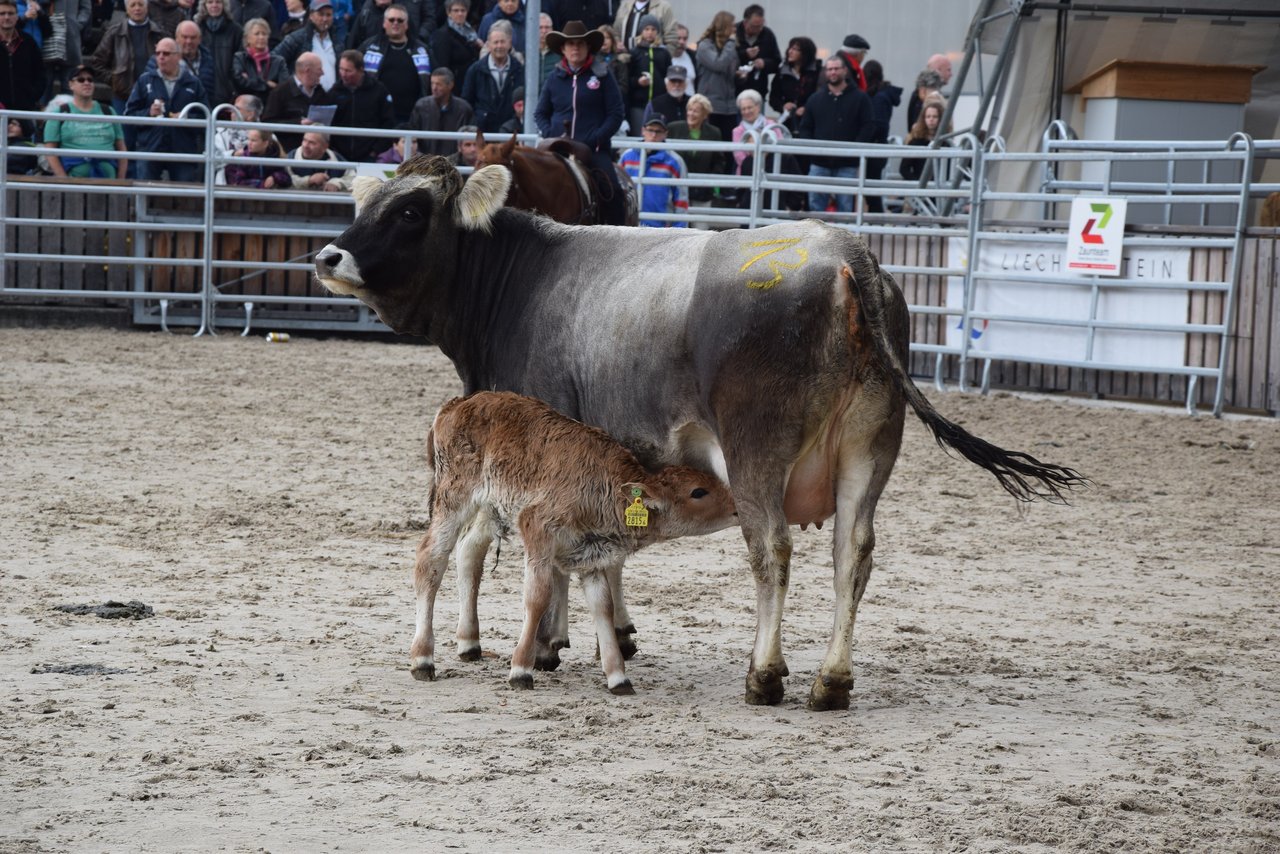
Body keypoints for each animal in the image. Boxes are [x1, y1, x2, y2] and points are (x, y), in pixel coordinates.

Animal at [314, 155, 1085, 717]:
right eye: (365, 204)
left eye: (410, 211)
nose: (327, 258)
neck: (523, 280)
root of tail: (847, 253)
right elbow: (603, 558)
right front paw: (612, 636)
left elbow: (536, 558)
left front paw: (548, 645)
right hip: (871, 449)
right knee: (853, 555)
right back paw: (831, 681)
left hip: (756, 451)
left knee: (771, 548)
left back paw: (765, 674)